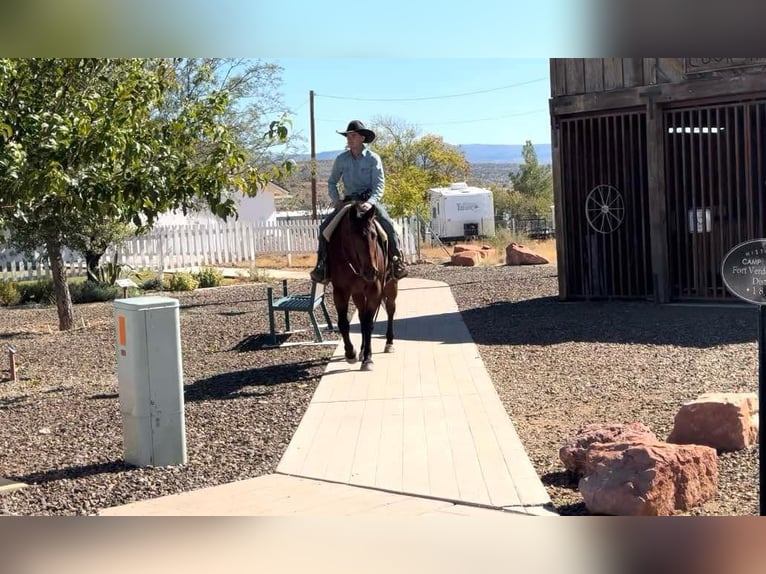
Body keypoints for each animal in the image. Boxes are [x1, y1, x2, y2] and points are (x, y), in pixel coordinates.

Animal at [328, 204, 400, 374]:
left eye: (374, 236)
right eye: (353, 237)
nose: (371, 272)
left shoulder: (375, 290)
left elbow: (368, 324)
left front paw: (368, 358)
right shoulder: (340, 291)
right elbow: (344, 323)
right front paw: (351, 353)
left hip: (391, 286)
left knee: (390, 310)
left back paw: (389, 343)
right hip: (358, 294)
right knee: (361, 316)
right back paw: (361, 350)